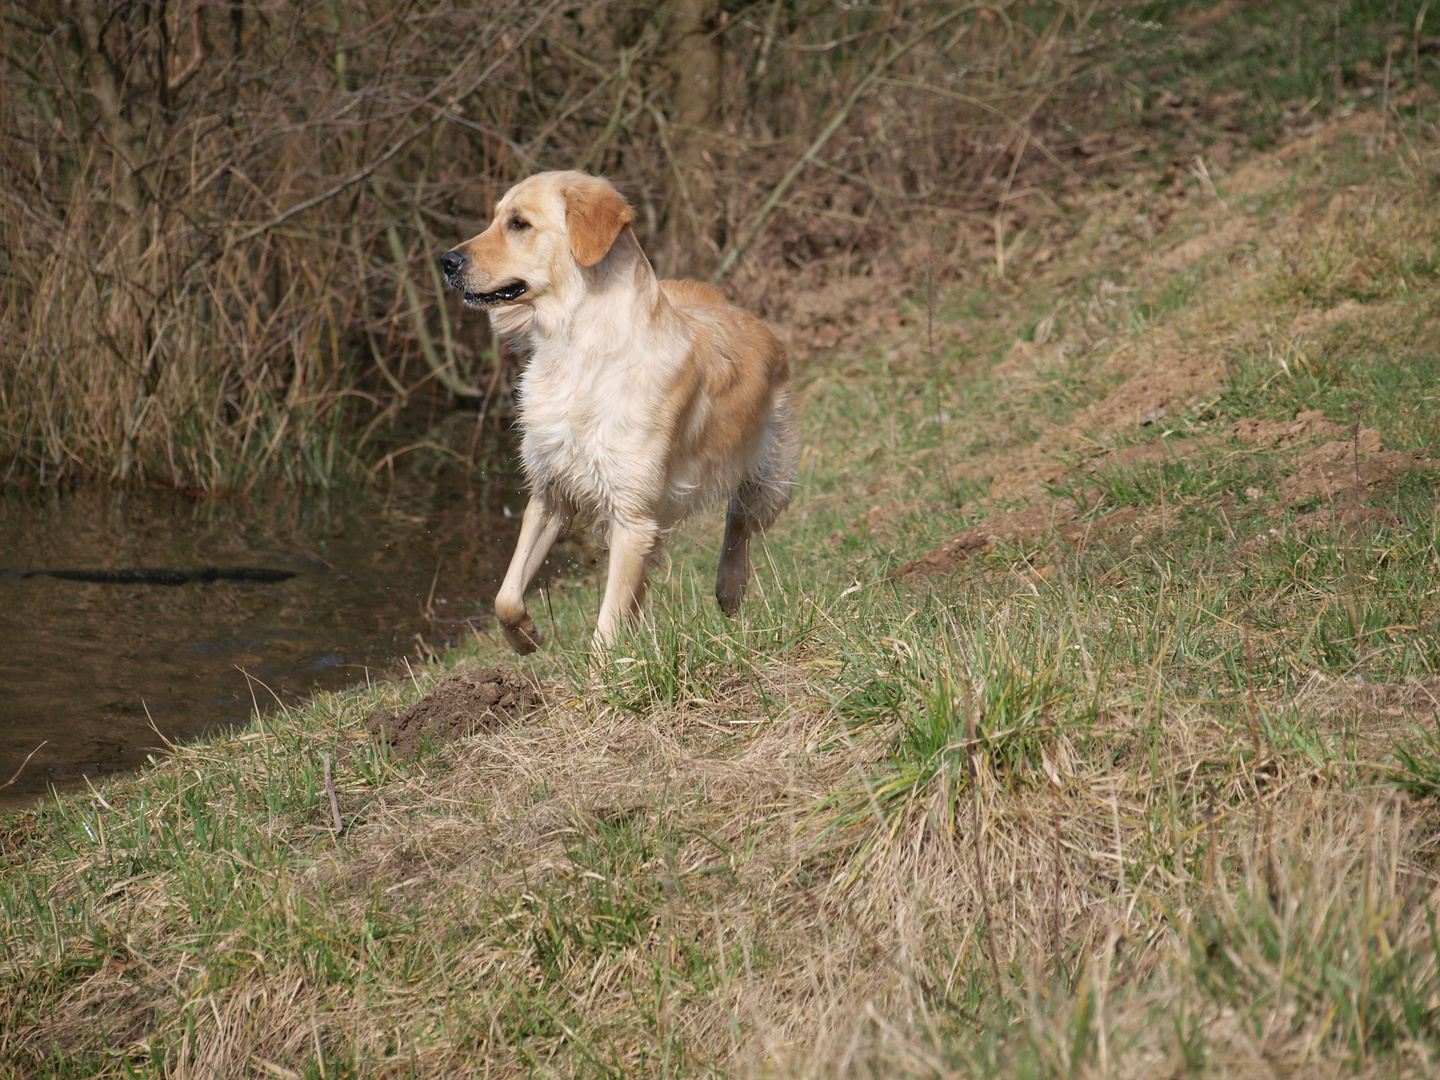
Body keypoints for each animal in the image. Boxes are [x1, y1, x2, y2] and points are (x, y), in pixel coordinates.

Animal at [437, 173, 800, 656]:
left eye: (519, 224)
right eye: (495, 218)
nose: (446, 260)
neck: (580, 352)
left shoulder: (632, 514)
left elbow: (605, 629)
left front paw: (599, 673)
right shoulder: (551, 491)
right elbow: (506, 596)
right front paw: (526, 637)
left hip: (768, 472)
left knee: (740, 517)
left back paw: (729, 585)